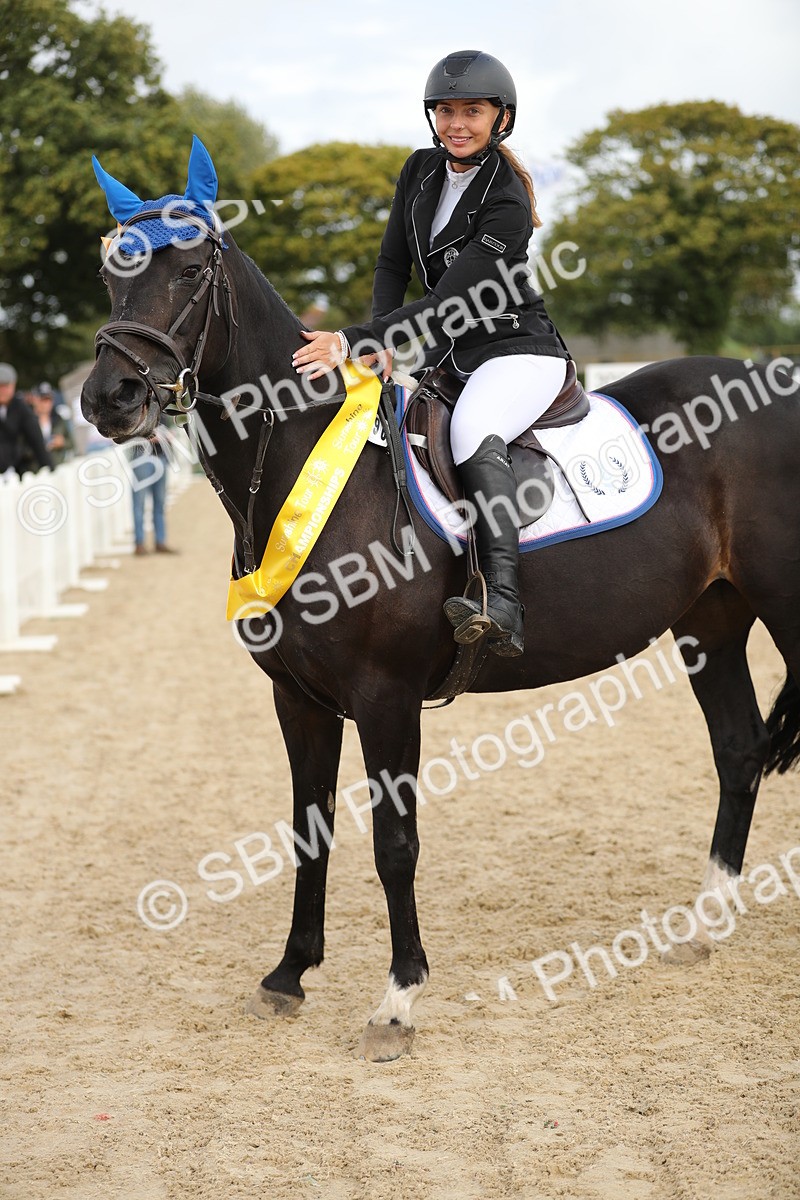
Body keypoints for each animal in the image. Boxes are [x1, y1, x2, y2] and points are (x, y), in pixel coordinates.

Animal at [82, 140, 800, 1061]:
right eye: (113, 271)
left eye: (190, 268)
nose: (108, 399)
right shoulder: (297, 699)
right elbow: (308, 831)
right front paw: (289, 975)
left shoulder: (386, 696)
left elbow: (395, 843)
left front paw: (397, 1001)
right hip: (711, 618)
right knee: (739, 750)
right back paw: (706, 923)